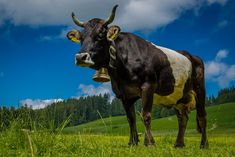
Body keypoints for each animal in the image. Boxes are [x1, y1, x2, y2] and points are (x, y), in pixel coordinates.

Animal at [67, 5, 208, 148]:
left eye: (100, 35)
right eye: (81, 38)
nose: (80, 57)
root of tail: (192, 56)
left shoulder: (148, 86)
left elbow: (146, 115)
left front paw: (149, 143)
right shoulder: (124, 94)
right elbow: (131, 118)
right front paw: (132, 142)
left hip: (199, 89)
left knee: (202, 116)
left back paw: (203, 145)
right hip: (179, 97)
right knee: (182, 118)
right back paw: (179, 144)